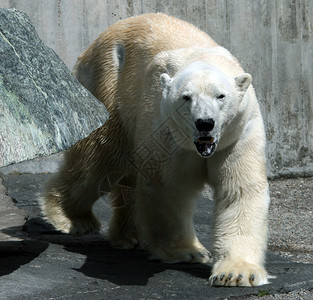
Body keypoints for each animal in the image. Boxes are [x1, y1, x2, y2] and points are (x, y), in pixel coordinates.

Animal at [40, 13, 270, 286]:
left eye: (221, 96)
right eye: (186, 97)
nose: (205, 123)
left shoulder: (237, 134)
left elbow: (239, 190)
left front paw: (237, 273)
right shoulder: (166, 129)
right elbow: (167, 186)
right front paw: (187, 251)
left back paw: (131, 235)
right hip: (110, 85)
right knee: (100, 159)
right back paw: (73, 219)